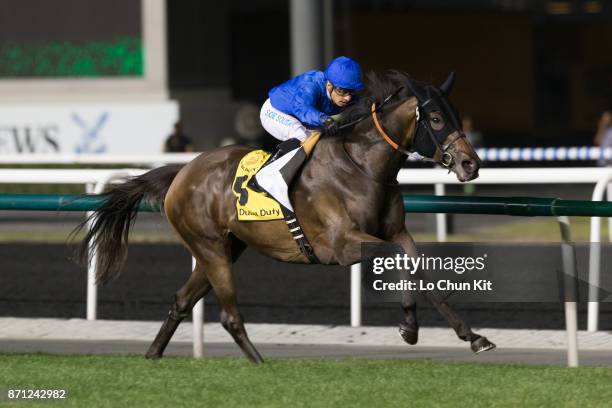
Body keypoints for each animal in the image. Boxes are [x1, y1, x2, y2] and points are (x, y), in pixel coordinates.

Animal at [75, 70, 498, 364]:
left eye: (454, 114)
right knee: (228, 315)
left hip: (226, 248)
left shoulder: (397, 232)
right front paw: (410, 326)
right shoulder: (342, 245)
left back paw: (153, 355)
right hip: (210, 248)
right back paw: (260, 364)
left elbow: (421, 270)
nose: (470, 164)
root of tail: (181, 173)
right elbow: (402, 265)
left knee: (181, 301)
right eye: (437, 119)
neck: (362, 165)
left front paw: (470, 336)